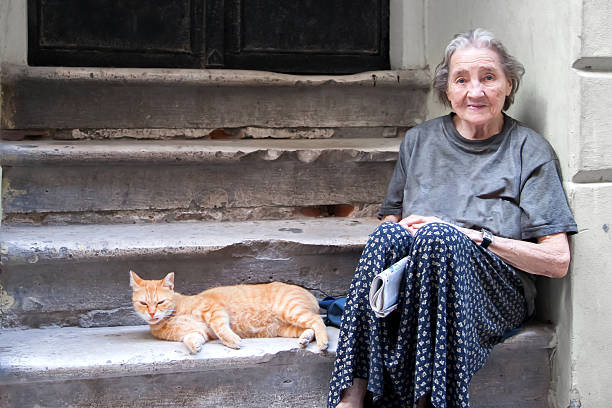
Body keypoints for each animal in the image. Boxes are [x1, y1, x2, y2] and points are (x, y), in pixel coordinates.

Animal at [130, 270, 330, 354]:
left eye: (160, 302)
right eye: (143, 303)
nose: (152, 314)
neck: (171, 316)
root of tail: (311, 296)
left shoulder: (214, 310)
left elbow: (221, 328)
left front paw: (232, 340)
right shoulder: (198, 332)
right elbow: (190, 338)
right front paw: (194, 346)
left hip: (290, 309)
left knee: (317, 320)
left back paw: (323, 343)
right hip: (285, 328)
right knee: (310, 327)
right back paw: (305, 338)